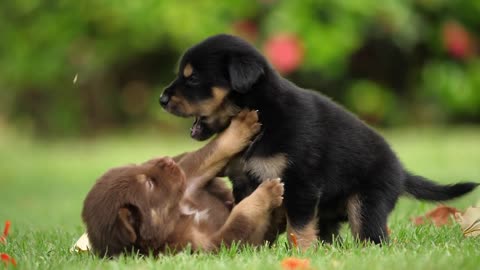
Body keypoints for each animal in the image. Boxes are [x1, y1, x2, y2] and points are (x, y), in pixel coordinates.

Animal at [82, 110, 284, 258]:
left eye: (135, 166)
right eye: (149, 184)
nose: (167, 160)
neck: (177, 216)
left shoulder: (188, 181)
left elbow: (211, 151)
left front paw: (242, 124)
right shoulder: (212, 245)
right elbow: (240, 217)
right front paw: (268, 192)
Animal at [159, 33, 478, 249]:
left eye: (193, 79)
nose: (161, 99)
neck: (264, 114)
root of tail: (401, 172)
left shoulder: (301, 183)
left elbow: (298, 227)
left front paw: (301, 253)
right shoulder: (244, 181)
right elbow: (255, 212)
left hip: (367, 202)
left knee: (372, 236)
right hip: (330, 213)